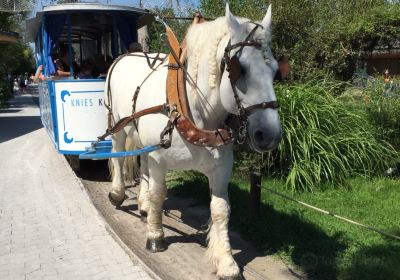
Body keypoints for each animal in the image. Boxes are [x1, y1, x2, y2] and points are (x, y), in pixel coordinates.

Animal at [106, 4, 282, 280]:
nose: (270, 134)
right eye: (239, 68)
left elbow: (221, 209)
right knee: (118, 155)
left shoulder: (220, 168)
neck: (193, 109)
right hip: (118, 125)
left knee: (142, 163)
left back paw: (143, 204)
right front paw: (155, 236)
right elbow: (159, 194)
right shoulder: (159, 159)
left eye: (276, 70)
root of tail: (127, 55)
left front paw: (226, 262)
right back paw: (118, 193)